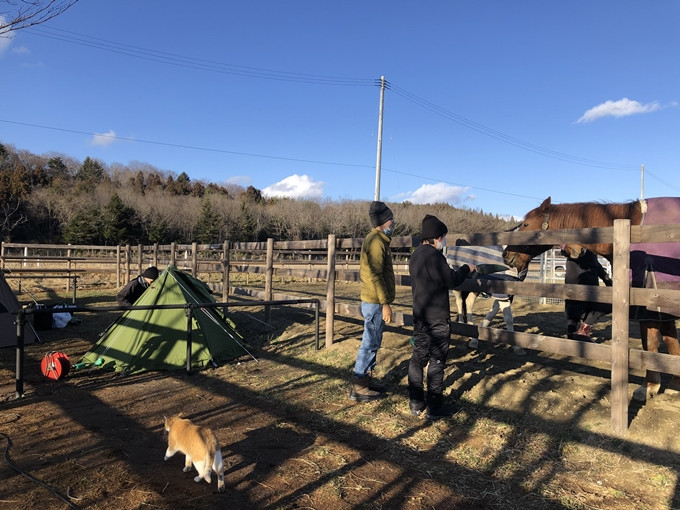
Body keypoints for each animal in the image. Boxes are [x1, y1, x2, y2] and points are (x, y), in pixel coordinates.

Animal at [500, 196, 680, 402]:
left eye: (526, 224)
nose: (506, 254)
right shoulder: (662, 309)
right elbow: (671, 343)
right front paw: (674, 385)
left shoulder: (650, 306)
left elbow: (650, 345)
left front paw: (648, 387)